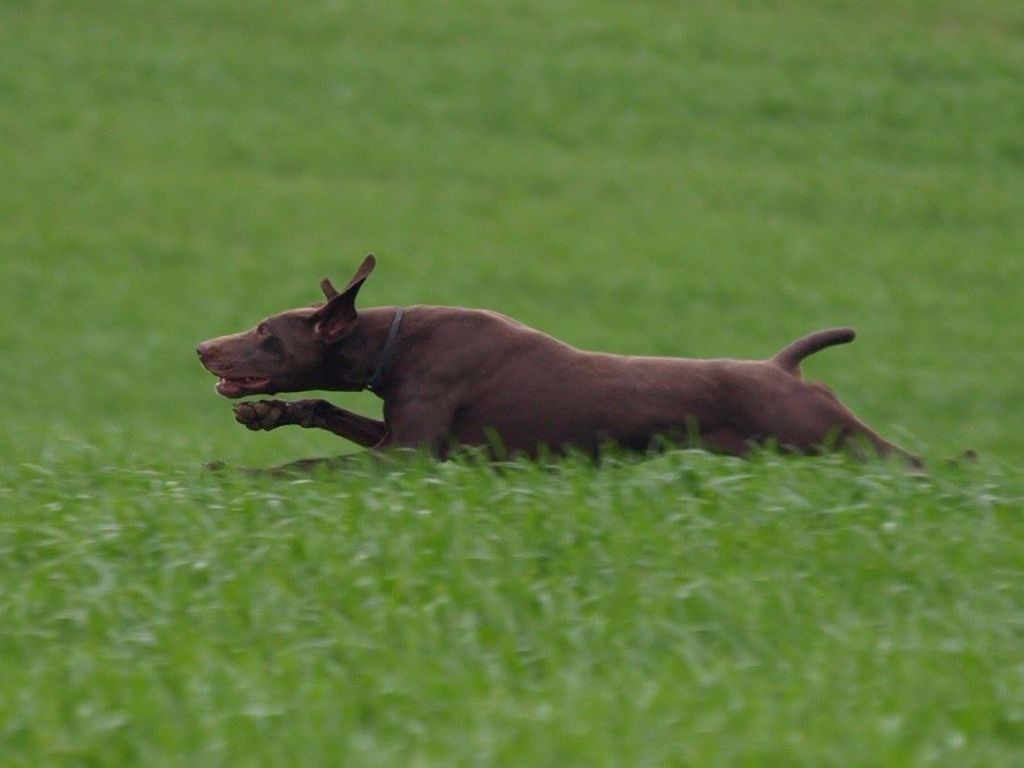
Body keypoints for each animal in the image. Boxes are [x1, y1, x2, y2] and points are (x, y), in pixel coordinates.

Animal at [197, 255, 922, 468]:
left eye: (264, 330)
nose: (201, 347)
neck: (393, 344)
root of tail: (782, 366)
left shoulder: (408, 453)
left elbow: (313, 467)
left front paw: (241, 474)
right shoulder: (408, 436)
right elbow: (322, 405)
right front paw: (267, 413)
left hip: (824, 434)